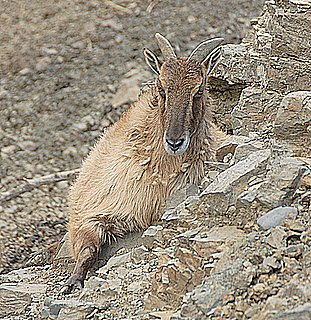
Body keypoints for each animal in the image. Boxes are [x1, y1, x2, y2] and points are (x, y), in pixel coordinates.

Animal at [65, 33, 227, 292]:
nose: (174, 141)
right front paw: (73, 280)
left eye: (199, 90)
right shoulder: (93, 211)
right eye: (161, 88)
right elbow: (88, 247)